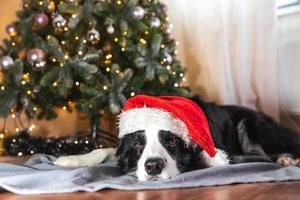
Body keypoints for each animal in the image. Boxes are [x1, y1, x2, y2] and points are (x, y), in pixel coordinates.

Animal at [55, 95, 300, 181]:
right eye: (138, 144)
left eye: (172, 141)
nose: (153, 166)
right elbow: (106, 149)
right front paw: (72, 159)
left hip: (251, 123)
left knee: (262, 153)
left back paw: (285, 159)